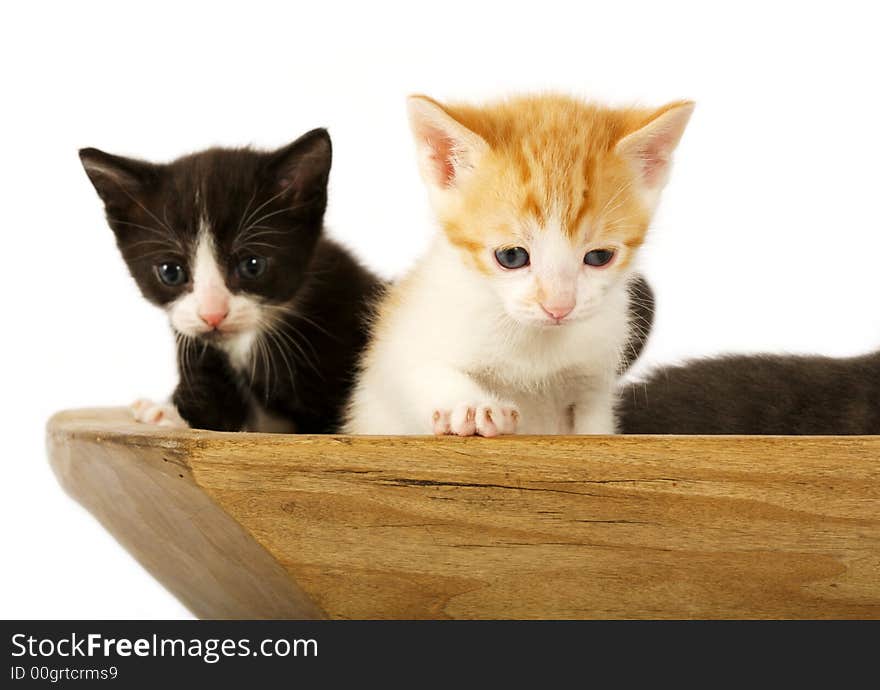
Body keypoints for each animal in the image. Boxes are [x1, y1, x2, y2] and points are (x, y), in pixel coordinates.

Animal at [81, 129, 382, 430]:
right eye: (170, 272)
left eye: (252, 266)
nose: (212, 314)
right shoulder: (194, 341)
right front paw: (171, 411)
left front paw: (164, 414)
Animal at [344, 94, 696, 432]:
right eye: (511, 256)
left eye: (599, 257)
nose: (558, 307)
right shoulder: (400, 343)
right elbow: (418, 369)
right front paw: (473, 406)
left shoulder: (593, 386)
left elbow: (594, 426)